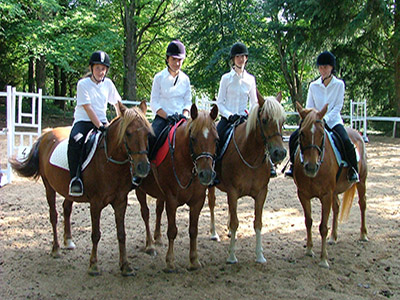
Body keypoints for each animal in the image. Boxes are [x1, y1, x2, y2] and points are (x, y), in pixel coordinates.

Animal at [9, 102, 153, 276]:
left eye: (147, 134)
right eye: (128, 133)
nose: (143, 167)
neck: (108, 162)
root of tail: (47, 133)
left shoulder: (120, 201)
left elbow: (121, 234)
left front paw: (125, 265)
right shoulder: (96, 203)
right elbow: (96, 234)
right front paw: (93, 265)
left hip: (68, 190)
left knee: (66, 208)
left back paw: (68, 241)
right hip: (48, 186)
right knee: (53, 215)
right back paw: (56, 249)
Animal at [137, 103, 219, 272]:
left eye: (216, 139)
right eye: (193, 139)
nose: (206, 174)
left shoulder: (198, 201)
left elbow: (193, 230)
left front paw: (194, 260)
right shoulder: (172, 199)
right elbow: (172, 231)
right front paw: (170, 262)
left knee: (158, 210)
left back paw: (157, 238)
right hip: (139, 190)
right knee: (145, 214)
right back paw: (150, 245)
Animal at [208, 91, 286, 262]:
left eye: (282, 121)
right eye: (264, 120)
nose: (280, 153)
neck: (251, 157)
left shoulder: (261, 193)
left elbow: (258, 223)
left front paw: (260, 255)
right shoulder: (233, 191)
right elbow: (236, 222)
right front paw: (232, 256)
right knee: (212, 204)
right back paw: (214, 233)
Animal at [292, 102, 368, 268]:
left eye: (322, 134)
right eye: (302, 133)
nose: (311, 167)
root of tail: (357, 133)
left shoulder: (326, 195)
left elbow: (322, 227)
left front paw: (324, 259)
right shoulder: (303, 194)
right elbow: (308, 222)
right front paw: (309, 250)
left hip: (362, 181)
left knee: (362, 204)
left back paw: (363, 234)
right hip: (335, 190)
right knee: (337, 206)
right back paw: (333, 237)